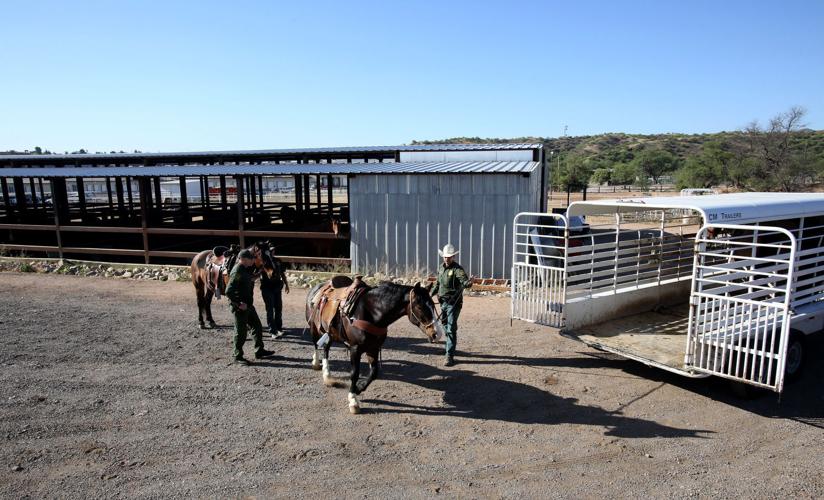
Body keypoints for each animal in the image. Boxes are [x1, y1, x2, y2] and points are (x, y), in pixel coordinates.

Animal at [305, 277, 445, 414]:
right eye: (420, 307)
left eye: (433, 305)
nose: (437, 334)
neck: (370, 312)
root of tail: (317, 287)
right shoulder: (355, 348)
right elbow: (354, 373)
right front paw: (353, 400)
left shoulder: (373, 347)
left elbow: (374, 372)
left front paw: (359, 388)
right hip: (314, 328)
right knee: (316, 345)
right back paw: (316, 364)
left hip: (330, 333)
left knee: (326, 348)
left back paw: (327, 375)